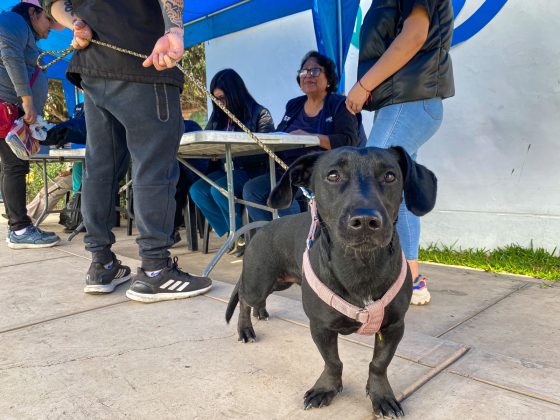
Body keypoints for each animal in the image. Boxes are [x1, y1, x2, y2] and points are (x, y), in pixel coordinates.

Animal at [225, 147, 436, 416]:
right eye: (333, 175)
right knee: (244, 298)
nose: (365, 221)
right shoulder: (320, 326)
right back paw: (245, 329)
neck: (360, 264)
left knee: (256, 299)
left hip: (279, 282)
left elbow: (379, 364)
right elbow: (332, 361)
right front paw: (326, 388)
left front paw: (381, 395)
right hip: (258, 281)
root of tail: (262, 227)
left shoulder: (393, 326)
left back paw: (260, 313)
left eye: (390, 176)